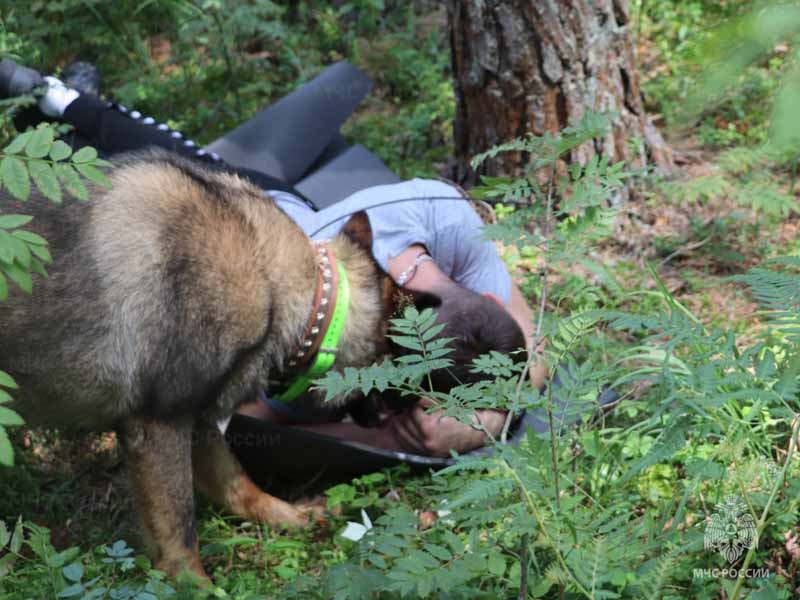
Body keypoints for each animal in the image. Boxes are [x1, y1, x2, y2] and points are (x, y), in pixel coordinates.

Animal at [0, 149, 424, 576]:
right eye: (396, 362)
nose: (421, 406)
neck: (274, 282)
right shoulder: (159, 425)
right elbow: (179, 528)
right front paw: (194, 583)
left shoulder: (201, 420)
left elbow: (238, 484)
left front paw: (288, 517)